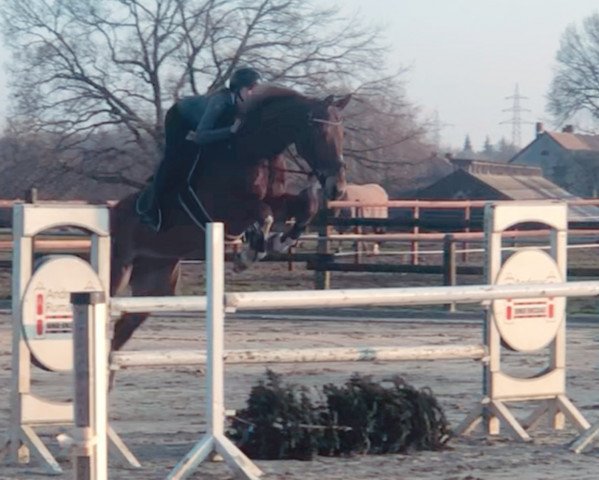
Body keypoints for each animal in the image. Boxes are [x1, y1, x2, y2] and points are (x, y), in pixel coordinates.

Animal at [110, 83, 350, 352]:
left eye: (342, 133)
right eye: (319, 132)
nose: (337, 188)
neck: (254, 151)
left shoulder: (278, 201)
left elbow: (306, 207)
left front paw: (278, 242)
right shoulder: (226, 210)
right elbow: (264, 214)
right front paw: (247, 256)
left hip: (156, 281)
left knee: (121, 331)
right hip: (117, 272)